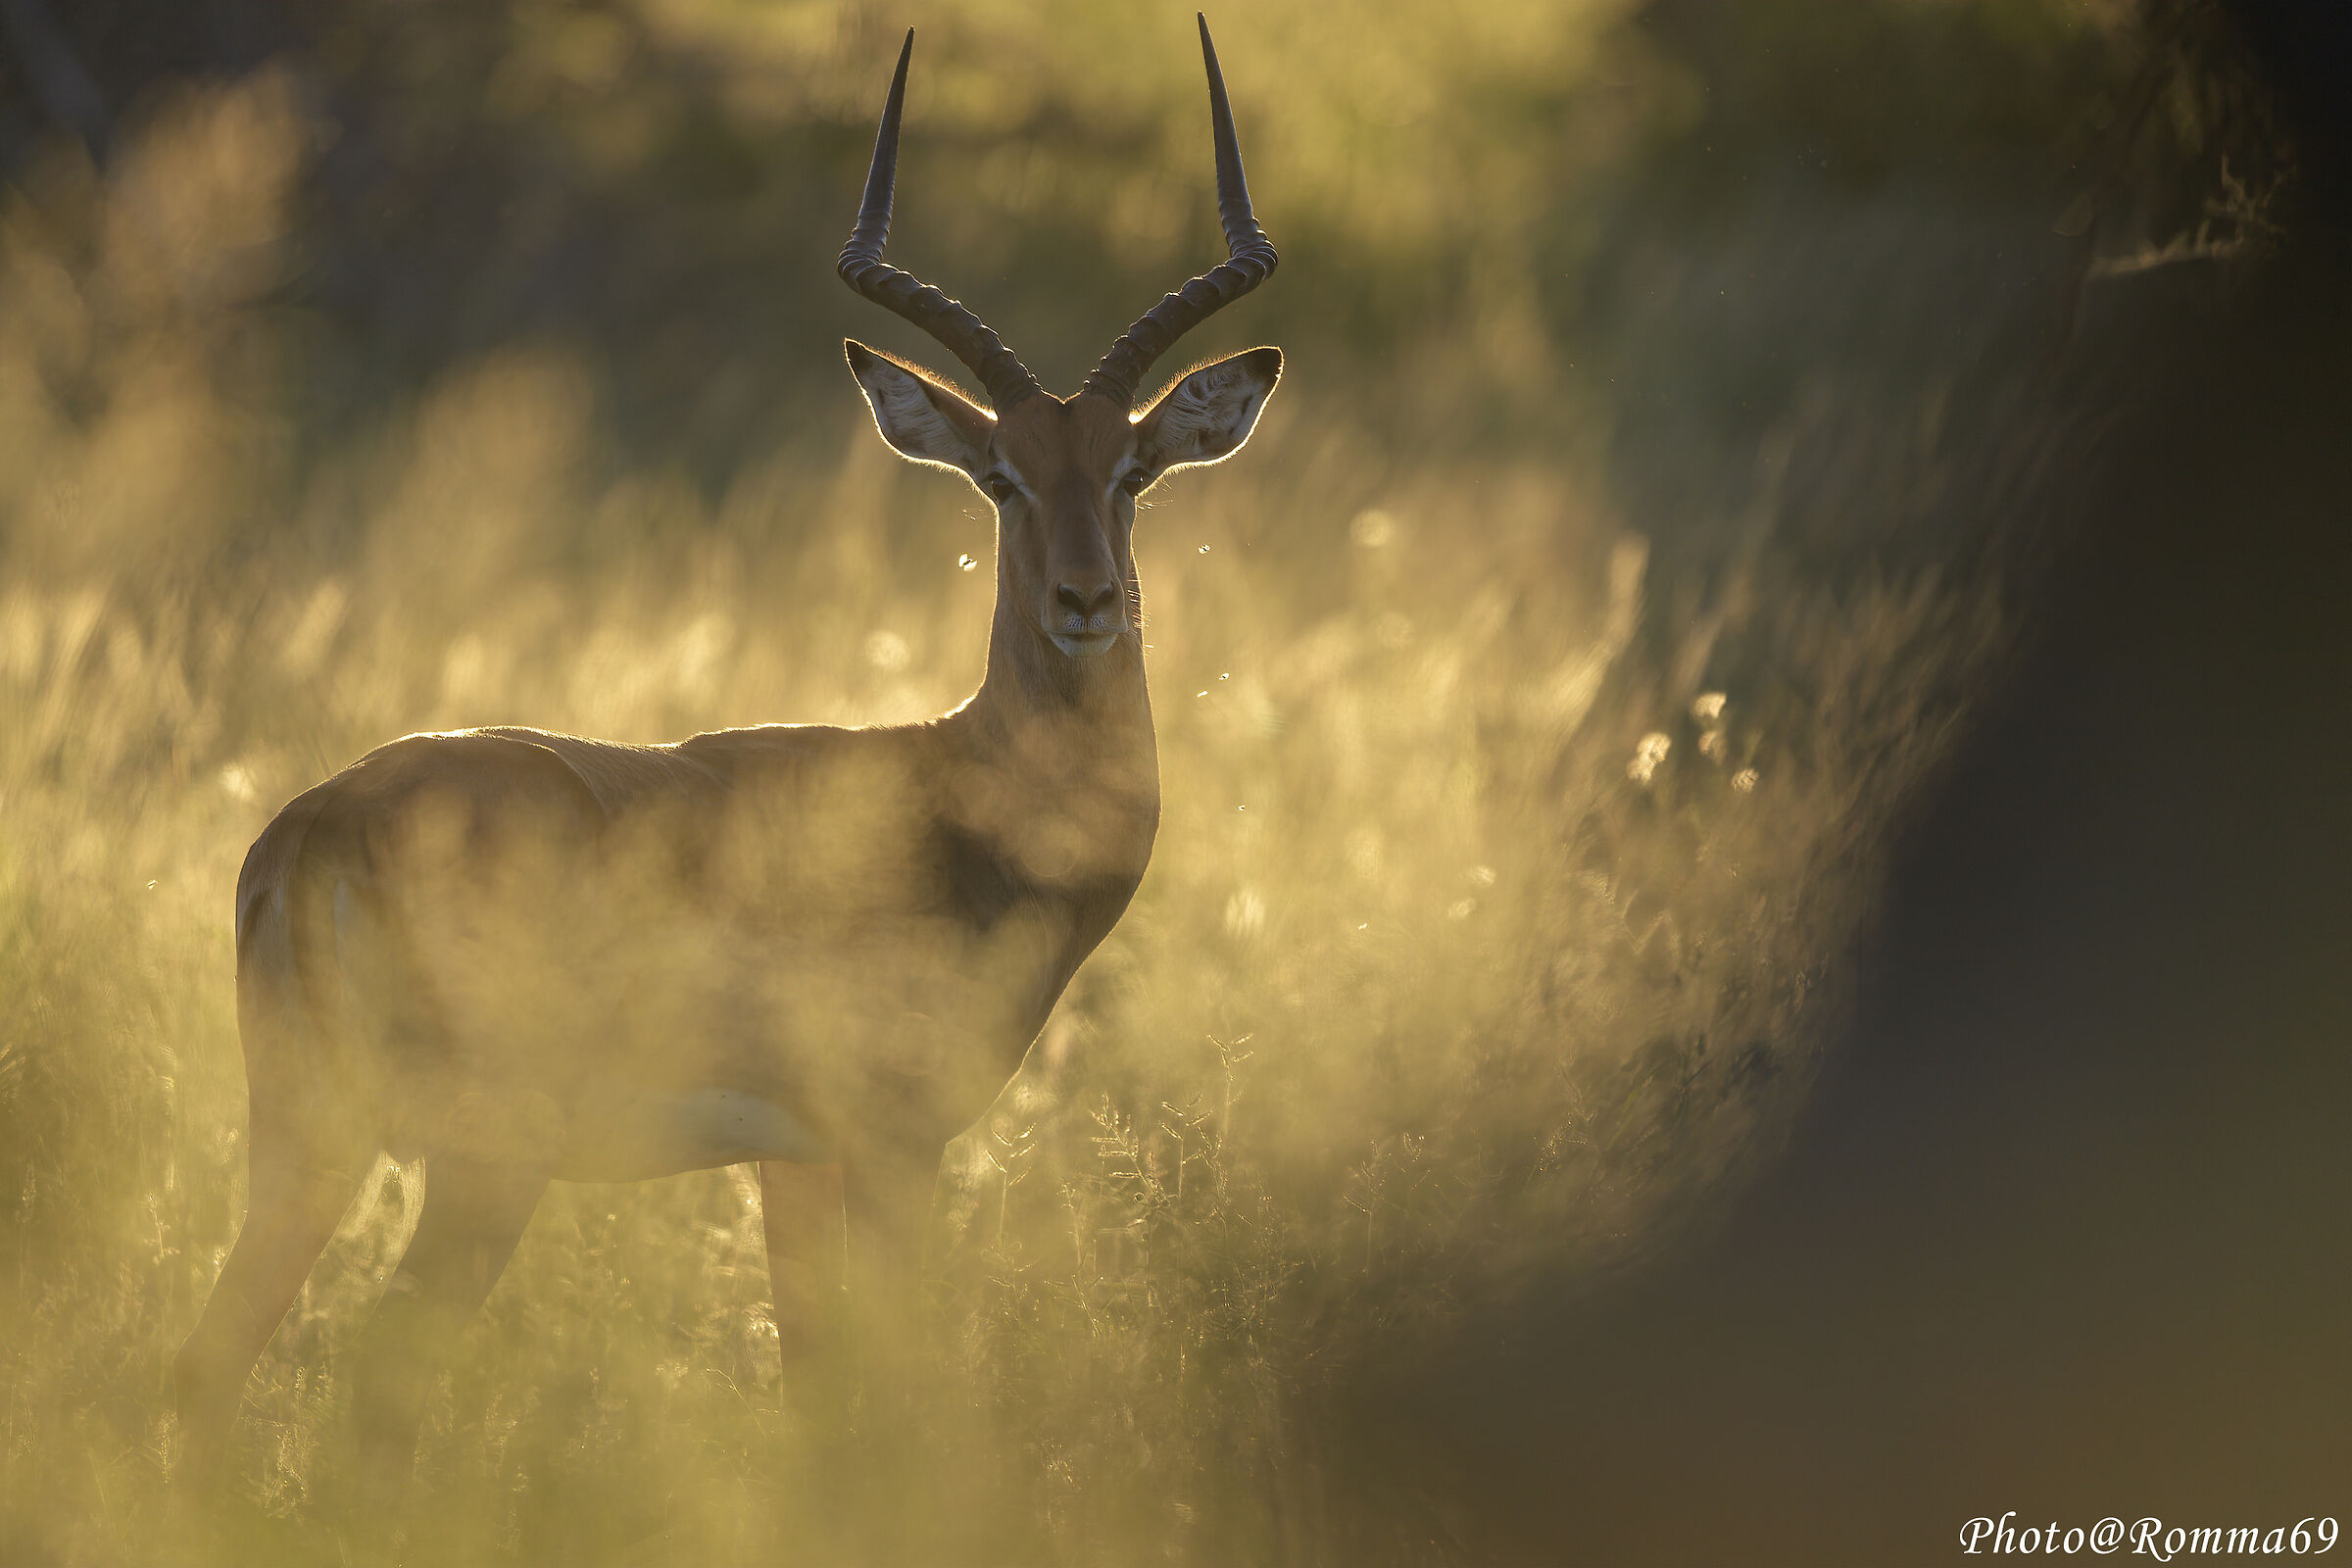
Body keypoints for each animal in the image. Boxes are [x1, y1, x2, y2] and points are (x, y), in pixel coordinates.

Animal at [171, 15, 1280, 1480]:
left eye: (1134, 470)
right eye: (1001, 477)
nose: (1087, 601)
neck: (960, 802)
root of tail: (311, 829)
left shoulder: (791, 1163)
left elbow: (813, 1395)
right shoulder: (894, 1143)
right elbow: (901, 1396)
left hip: (305, 1143)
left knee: (194, 1367)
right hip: (477, 1158)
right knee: (366, 1379)